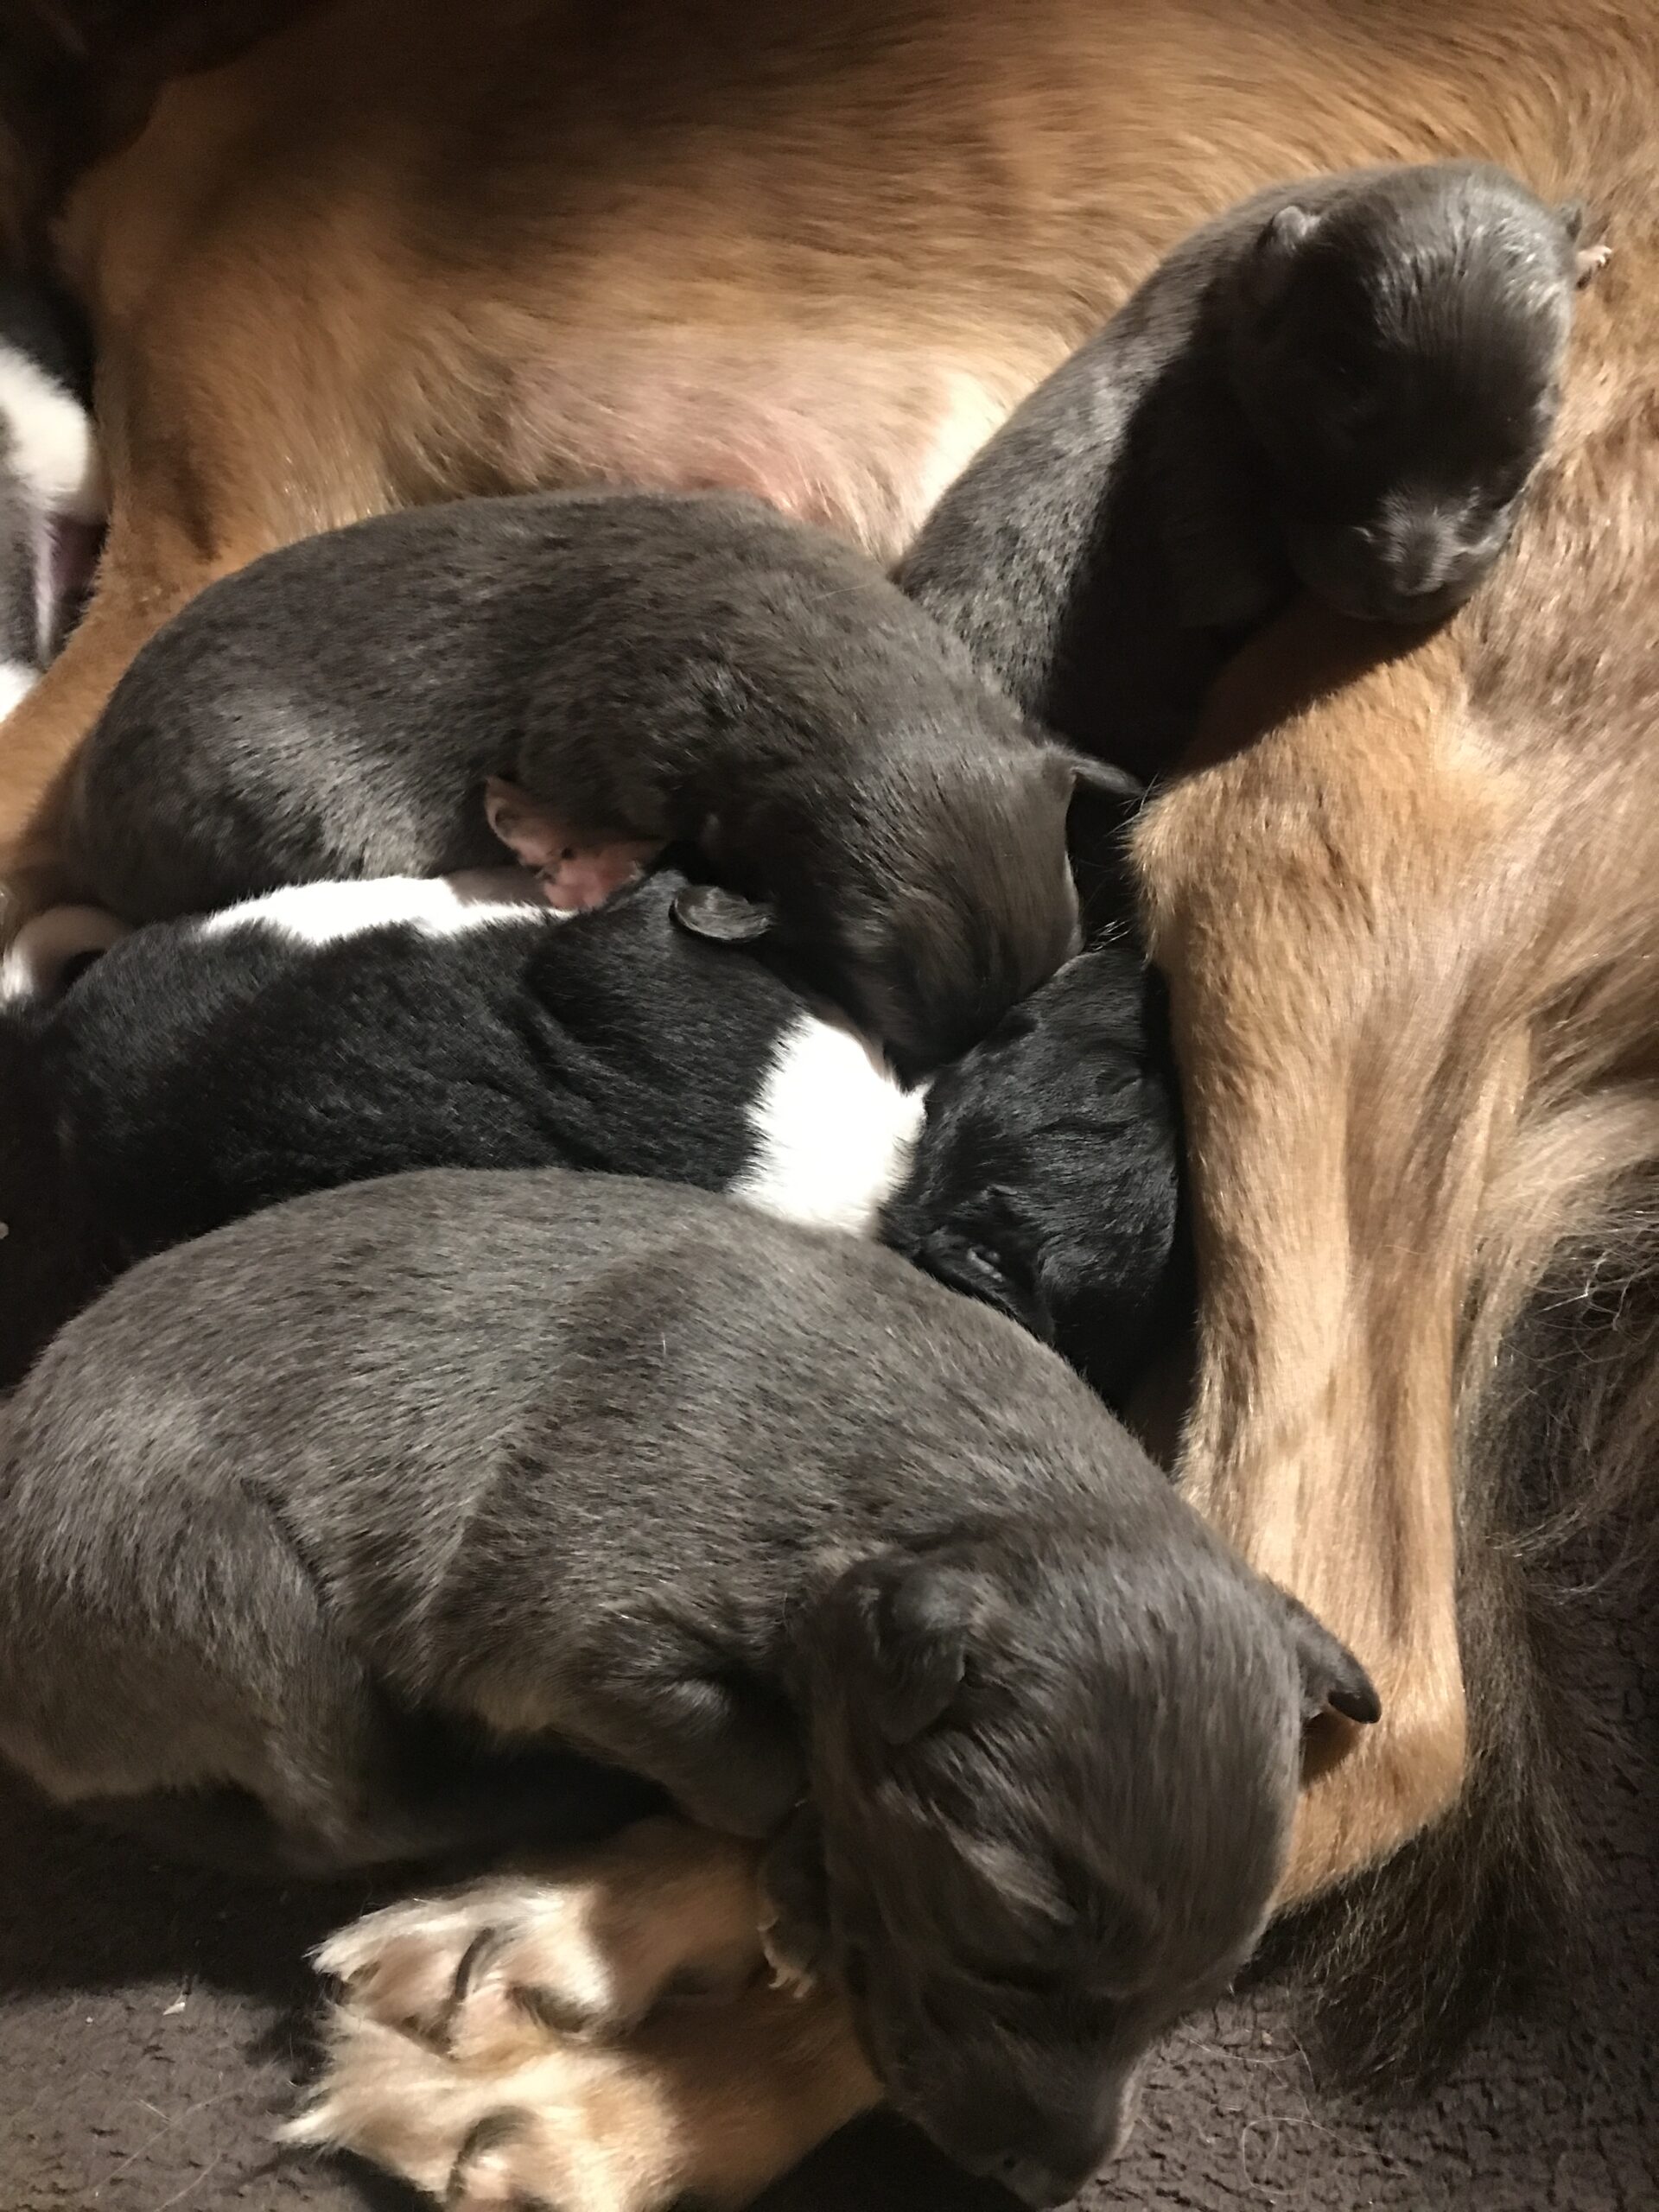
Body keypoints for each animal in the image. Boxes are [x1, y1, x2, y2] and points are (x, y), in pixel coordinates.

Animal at [0, 1163, 1376, 2204]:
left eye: (1213, 1985)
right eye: (1005, 1942)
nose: (1052, 2181)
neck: (968, 1485)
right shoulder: (572, 1630)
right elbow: (762, 1761)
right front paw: (804, 1883)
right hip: (230, 1582)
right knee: (340, 1809)